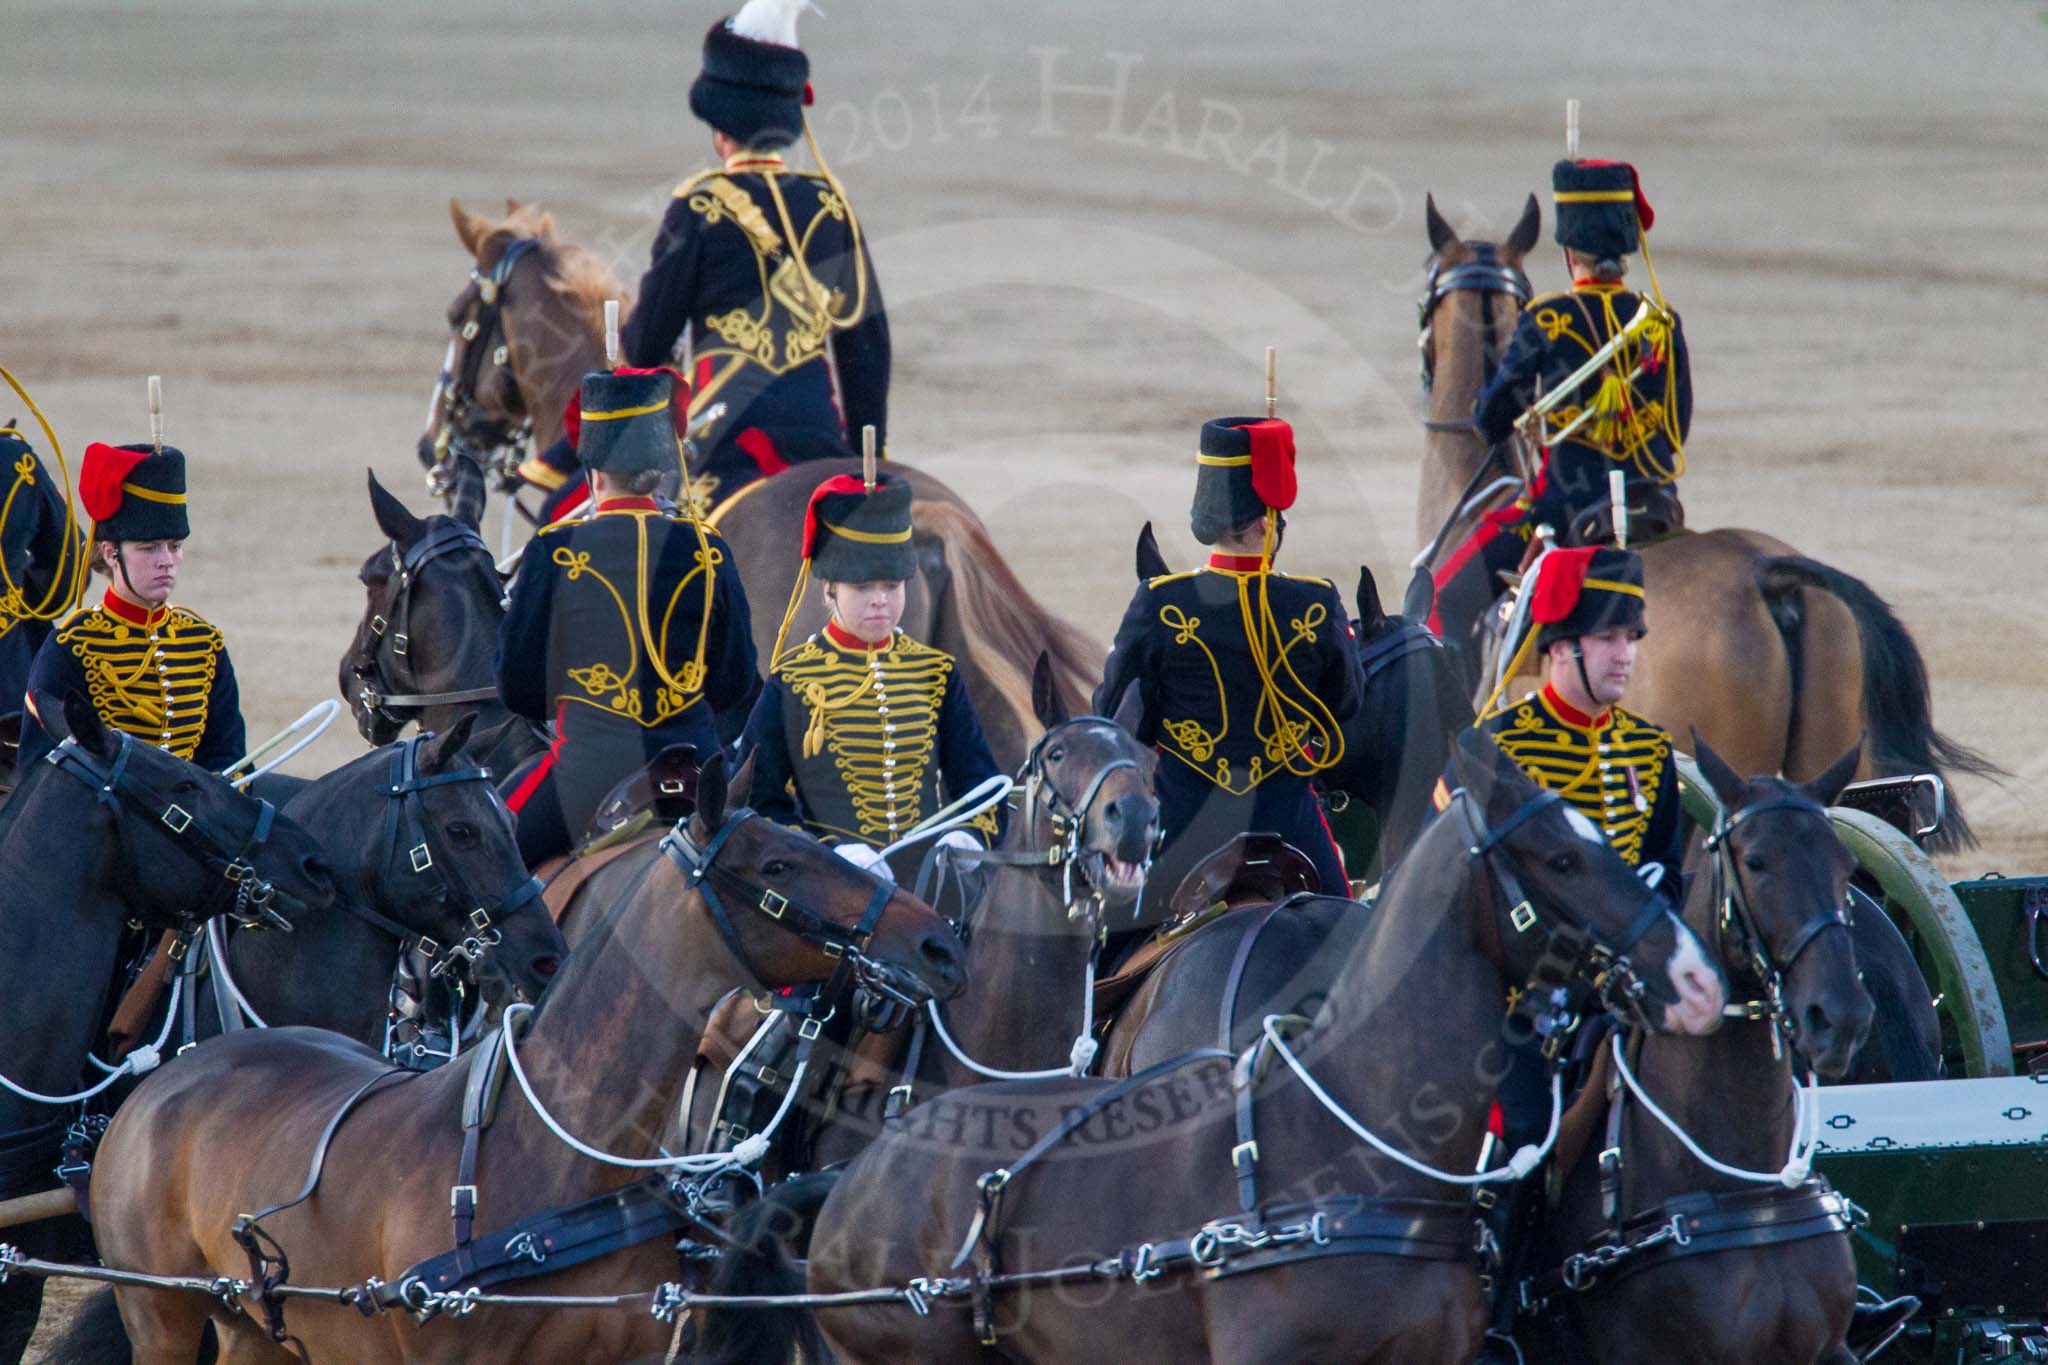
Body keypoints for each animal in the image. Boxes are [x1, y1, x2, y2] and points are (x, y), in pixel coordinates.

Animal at [83, 757, 962, 1365]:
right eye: (777, 867)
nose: (939, 941)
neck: (558, 1153)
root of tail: (167, 1078)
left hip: (257, 1328)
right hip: (162, 1319)